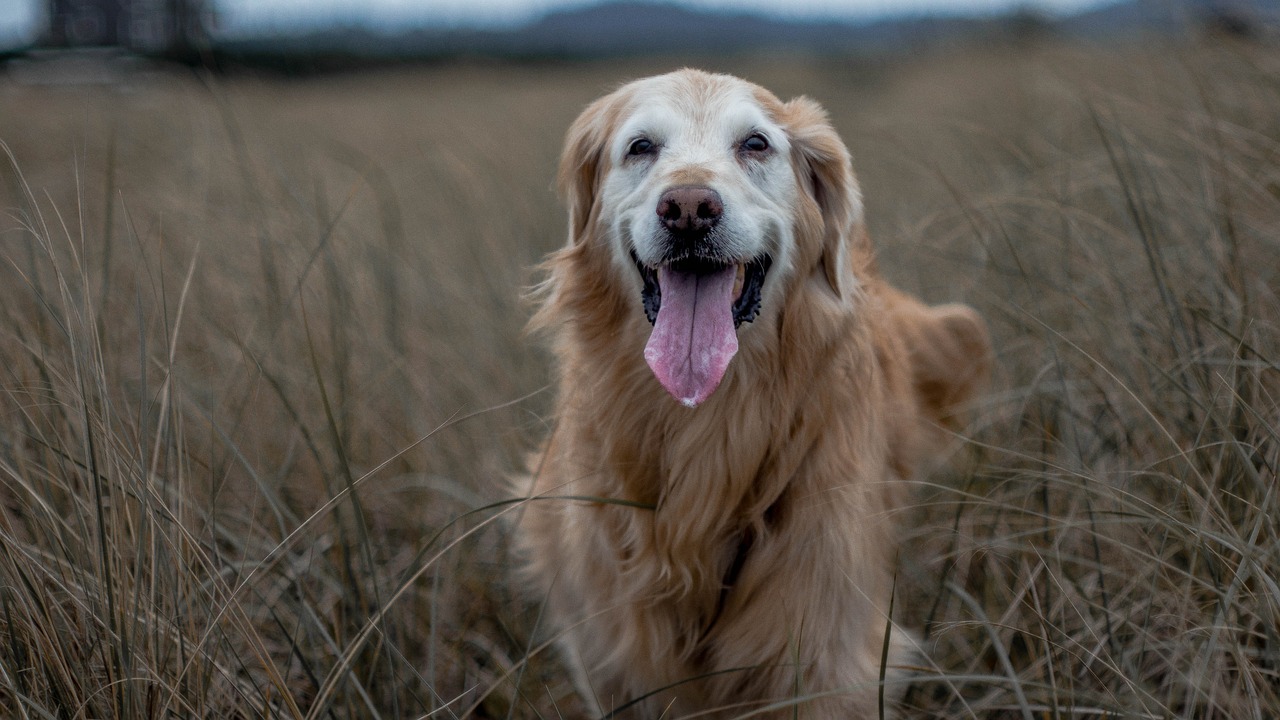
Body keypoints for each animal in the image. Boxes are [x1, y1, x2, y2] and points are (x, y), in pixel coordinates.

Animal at [517, 68, 988, 717]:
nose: (689, 209)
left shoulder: (825, 650)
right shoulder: (614, 656)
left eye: (756, 144)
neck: (707, 420)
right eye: (641, 147)